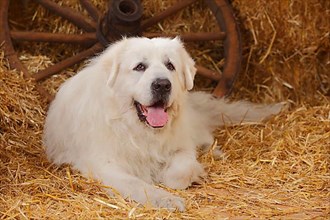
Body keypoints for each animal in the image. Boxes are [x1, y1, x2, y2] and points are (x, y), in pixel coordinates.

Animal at [43, 36, 282, 211]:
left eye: (170, 66)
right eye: (140, 67)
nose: (162, 85)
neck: (138, 130)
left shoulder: (182, 146)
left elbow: (180, 171)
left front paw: (183, 174)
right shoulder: (105, 165)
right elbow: (139, 184)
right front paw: (167, 199)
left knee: (205, 138)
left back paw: (215, 152)